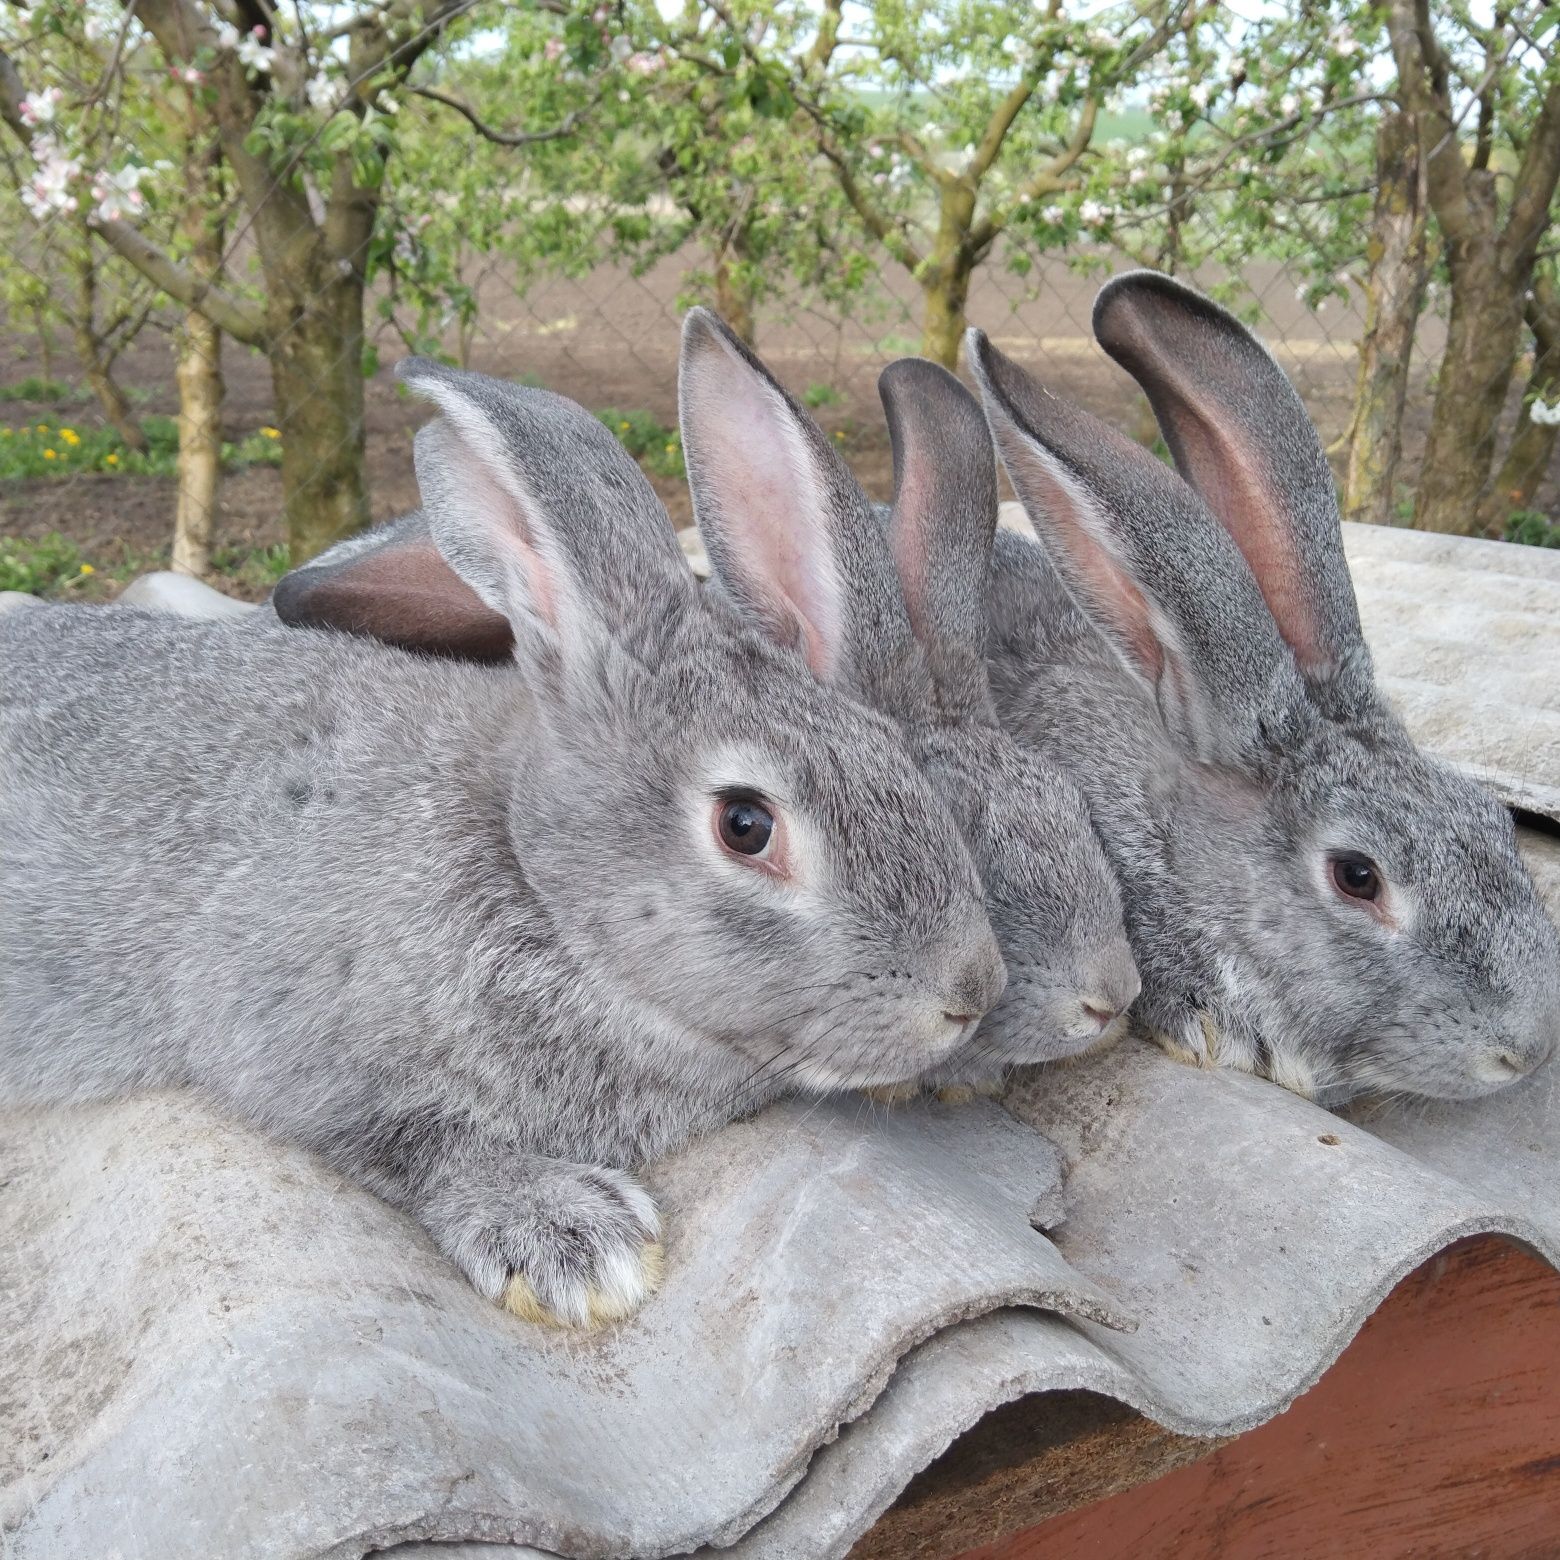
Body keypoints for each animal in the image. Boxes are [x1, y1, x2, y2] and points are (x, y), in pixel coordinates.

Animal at [0, 358, 1004, 1322]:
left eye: (895, 756)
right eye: (746, 825)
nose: (970, 993)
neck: (532, 877)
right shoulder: (280, 1029)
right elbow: (409, 1137)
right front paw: (573, 1242)